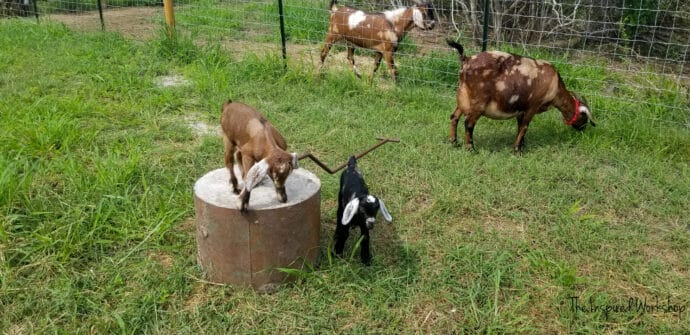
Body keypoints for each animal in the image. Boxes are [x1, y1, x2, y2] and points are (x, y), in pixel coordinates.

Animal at [444, 39, 592, 154]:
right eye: (584, 116)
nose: (583, 129)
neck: (555, 85)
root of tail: (466, 60)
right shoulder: (533, 106)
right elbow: (524, 127)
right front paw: (517, 150)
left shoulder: (521, 109)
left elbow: (520, 127)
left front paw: (522, 145)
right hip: (477, 103)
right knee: (468, 123)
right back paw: (471, 149)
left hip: (463, 97)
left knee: (454, 116)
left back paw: (453, 142)